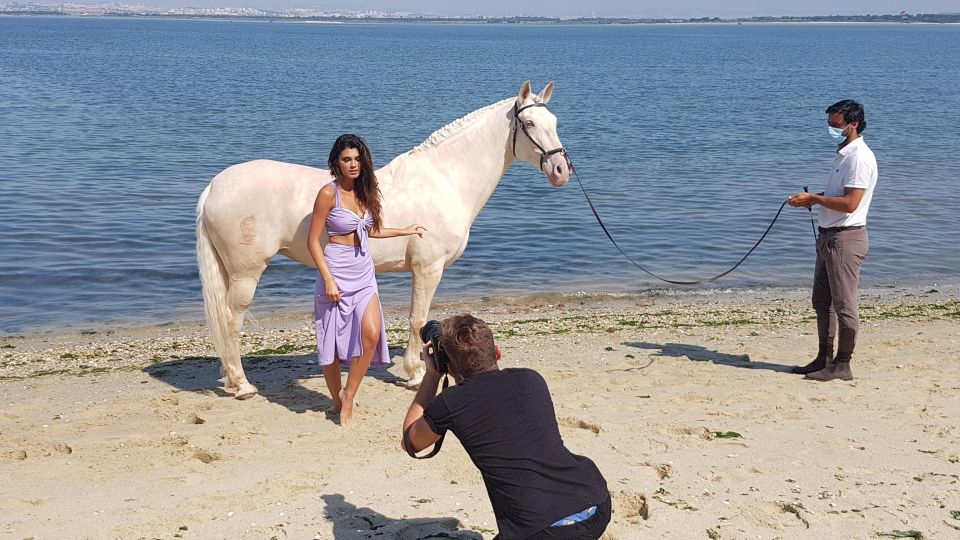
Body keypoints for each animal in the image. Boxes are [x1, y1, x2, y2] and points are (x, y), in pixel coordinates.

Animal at [195, 82, 568, 398]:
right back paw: (242, 385)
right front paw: (415, 373)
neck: (445, 179)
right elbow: (418, 318)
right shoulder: (428, 268)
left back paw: (231, 379)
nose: (562, 170)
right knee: (231, 320)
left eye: (554, 121)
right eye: (529, 124)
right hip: (246, 272)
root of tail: (214, 186)